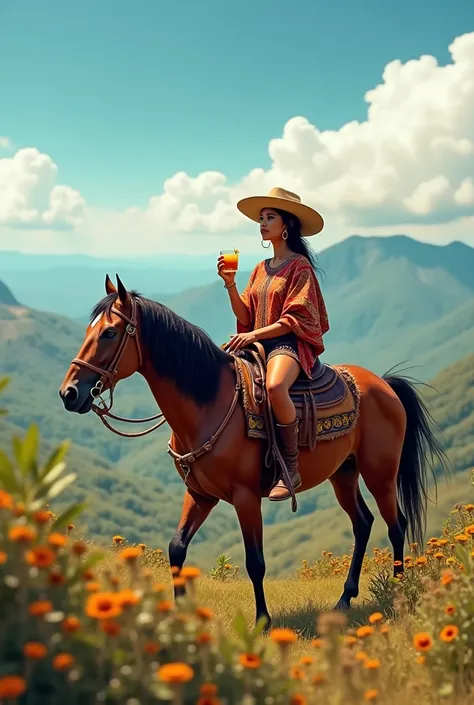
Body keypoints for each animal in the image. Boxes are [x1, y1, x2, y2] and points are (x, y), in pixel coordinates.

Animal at [57, 274, 450, 628]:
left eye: (109, 333)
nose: (69, 393)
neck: (208, 403)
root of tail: (384, 384)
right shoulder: (199, 494)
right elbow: (176, 549)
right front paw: (179, 618)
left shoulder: (245, 497)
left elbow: (255, 562)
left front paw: (262, 621)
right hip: (344, 473)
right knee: (363, 523)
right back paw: (344, 598)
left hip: (379, 472)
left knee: (396, 525)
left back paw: (396, 591)